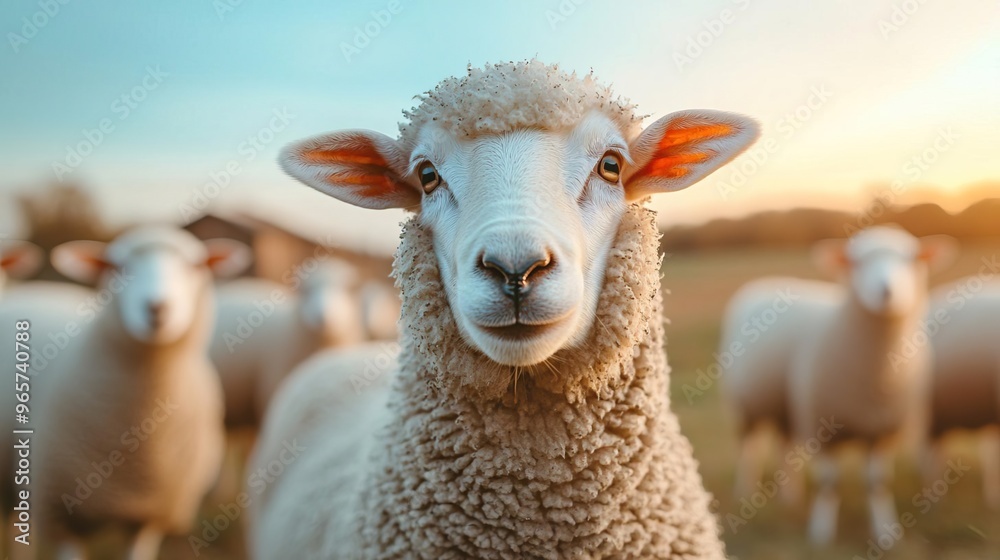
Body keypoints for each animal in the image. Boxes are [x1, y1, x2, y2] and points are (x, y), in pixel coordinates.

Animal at [721, 226, 955, 546]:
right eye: (855, 263)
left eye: (913, 258)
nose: (886, 292)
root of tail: (763, 282)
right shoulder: (821, 426)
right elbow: (828, 483)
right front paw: (821, 534)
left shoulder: (883, 431)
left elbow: (878, 483)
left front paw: (886, 532)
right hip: (746, 405)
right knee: (749, 450)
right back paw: (745, 493)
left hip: (787, 407)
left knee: (783, 447)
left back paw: (790, 499)